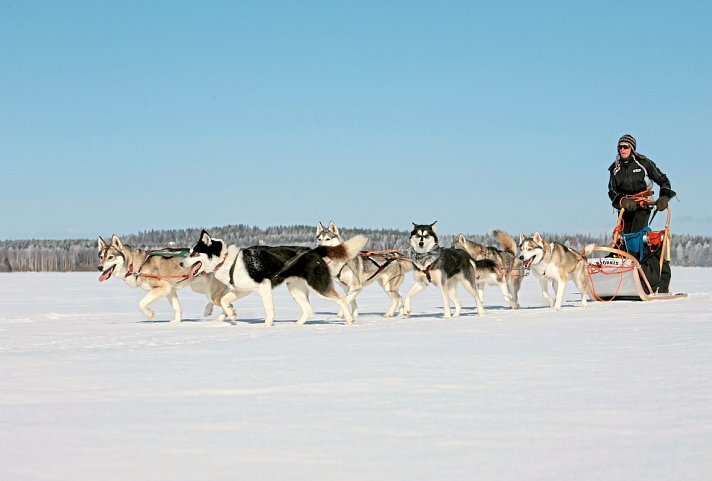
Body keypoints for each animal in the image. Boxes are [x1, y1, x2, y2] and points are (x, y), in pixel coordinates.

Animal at [96, 233, 231, 322]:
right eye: (101, 257)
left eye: (111, 257)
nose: (99, 267)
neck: (135, 264)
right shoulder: (170, 290)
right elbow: (177, 308)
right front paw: (175, 323)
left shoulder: (162, 288)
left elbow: (141, 303)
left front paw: (150, 315)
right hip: (199, 286)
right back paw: (210, 312)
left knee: (222, 301)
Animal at [182, 230, 368, 326]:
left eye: (194, 253)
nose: (182, 263)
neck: (227, 259)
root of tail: (314, 250)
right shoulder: (242, 290)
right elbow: (223, 300)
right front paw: (231, 313)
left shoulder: (263, 286)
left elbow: (269, 309)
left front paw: (267, 325)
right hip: (295, 290)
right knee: (308, 309)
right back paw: (296, 325)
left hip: (318, 285)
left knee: (341, 299)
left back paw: (349, 319)